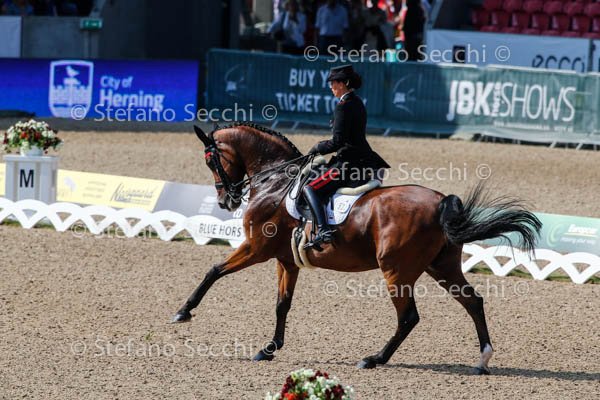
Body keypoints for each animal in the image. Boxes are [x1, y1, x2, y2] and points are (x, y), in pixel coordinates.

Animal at [171, 122, 541, 374]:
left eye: (211, 161)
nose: (225, 200)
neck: (275, 183)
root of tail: (440, 201)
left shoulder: (256, 248)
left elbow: (214, 271)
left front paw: (183, 312)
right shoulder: (284, 260)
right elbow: (282, 305)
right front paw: (269, 348)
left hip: (396, 270)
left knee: (409, 317)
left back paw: (374, 359)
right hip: (441, 267)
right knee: (472, 301)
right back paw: (483, 359)